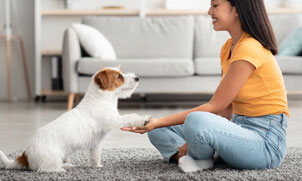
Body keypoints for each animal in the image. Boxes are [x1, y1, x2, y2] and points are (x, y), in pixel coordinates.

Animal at [0, 67, 151, 172]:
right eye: (119, 76)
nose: (137, 78)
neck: (101, 98)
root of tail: (25, 155)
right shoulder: (113, 119)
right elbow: (130, 116)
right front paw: (144, 119)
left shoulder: (96, 143)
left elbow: (95, 155)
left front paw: (97, 166)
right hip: (53, 156)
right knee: (45, 169)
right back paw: (61, 169)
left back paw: (66, 165)